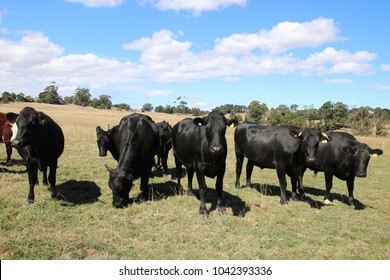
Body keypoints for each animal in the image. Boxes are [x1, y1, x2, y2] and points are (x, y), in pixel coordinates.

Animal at [0, 103, 390, 260]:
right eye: (112, 188)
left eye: (223, 128)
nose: (117, 204)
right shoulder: (197, 166)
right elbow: (199, 187)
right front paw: (199, 207)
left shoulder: (221, 168)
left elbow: (217, 190)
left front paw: (218, 207)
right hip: (182, 160)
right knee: (188, 176)